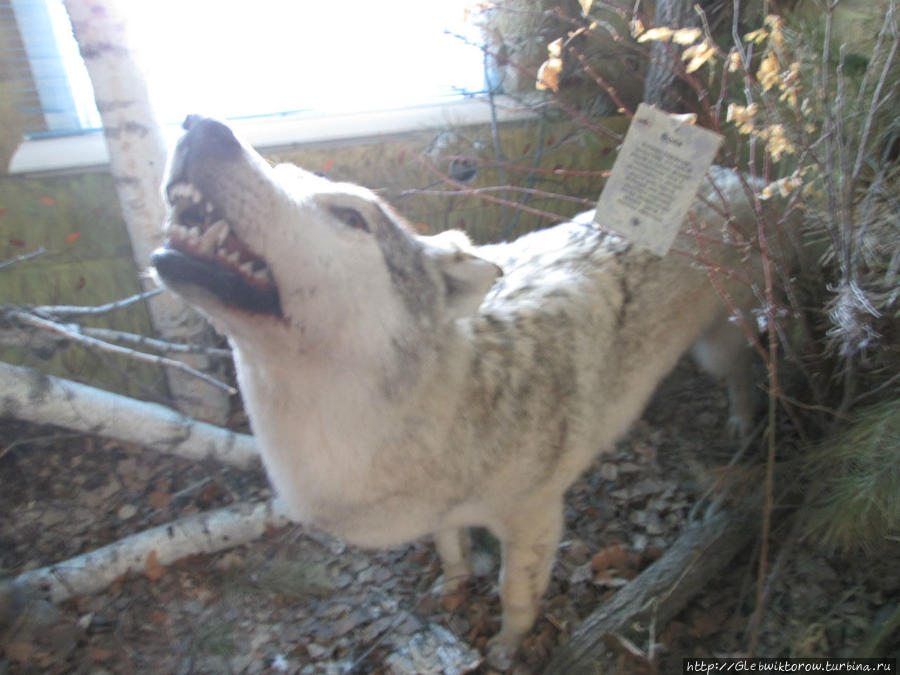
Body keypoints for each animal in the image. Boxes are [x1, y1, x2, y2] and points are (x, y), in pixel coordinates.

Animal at [153, 116, 768, 664]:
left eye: (349, 215)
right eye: (281, 172)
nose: (200, 125)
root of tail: (740, 175)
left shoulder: (536, 515)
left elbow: (514, 593)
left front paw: (509, 647)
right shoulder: (442, 510)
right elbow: (450, 548)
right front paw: (452, 587)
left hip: (718, 348)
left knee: (744, 372)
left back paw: (744, 423)